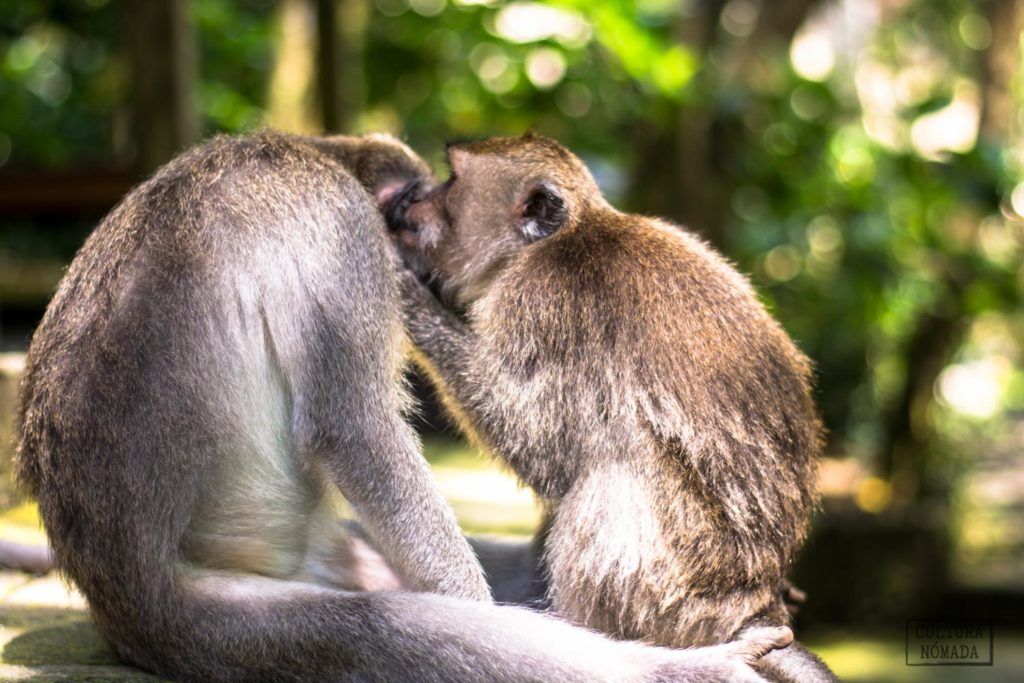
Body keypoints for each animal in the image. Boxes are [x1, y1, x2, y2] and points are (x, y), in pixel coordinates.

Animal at [14, 129, 793, 682]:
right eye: (405, 200)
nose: (415, 218)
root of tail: (118, 600)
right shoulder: (338, 227)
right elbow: (353, 429)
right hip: (211, 623)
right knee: (386, 631)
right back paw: (685, 669)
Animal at [386, 132, 839, 682]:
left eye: (450, 181)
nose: (409, 201)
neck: (561, 235)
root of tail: (753, 606)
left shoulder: (539, 301)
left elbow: (540, 449)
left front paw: (409, 291)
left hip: (672, 597)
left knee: (617, 466)